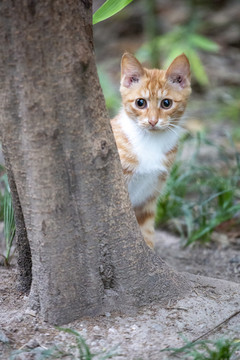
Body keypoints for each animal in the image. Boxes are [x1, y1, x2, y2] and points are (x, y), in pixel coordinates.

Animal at [110, 52, 191, 248]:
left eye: (166, 103)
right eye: (140, 103)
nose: (153, 121)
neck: (150, 142)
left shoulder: (147, 200)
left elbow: (146, 234)